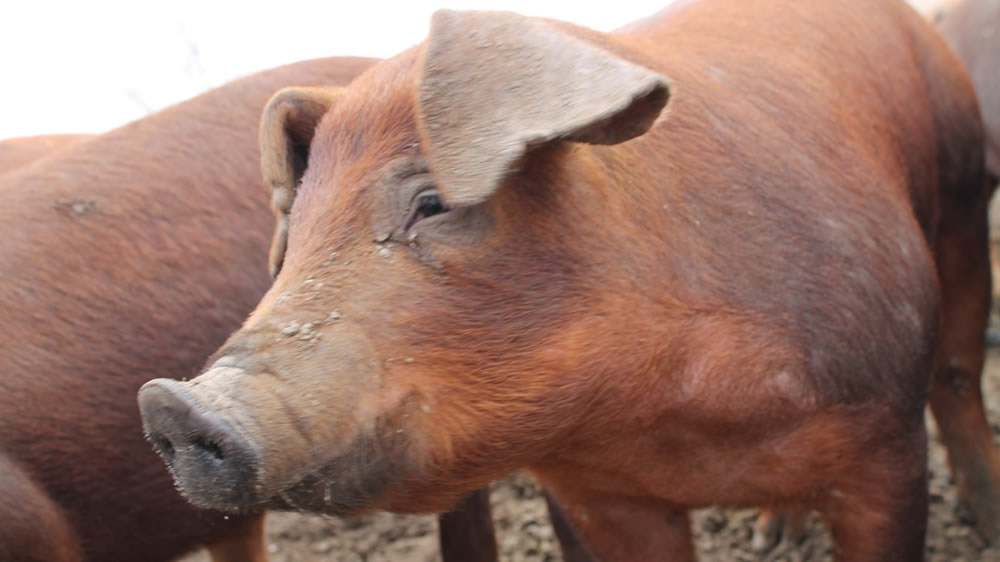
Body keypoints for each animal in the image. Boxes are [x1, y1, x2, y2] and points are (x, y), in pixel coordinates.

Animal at [137, 2, 996, 556]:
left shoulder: (883, 440)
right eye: (294, 242)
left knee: (957, 366)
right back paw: (770, 537)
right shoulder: (599, 499)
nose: (173, 403)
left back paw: (981, 512)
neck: (677, 419)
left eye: (434, 203)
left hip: (960, 191)